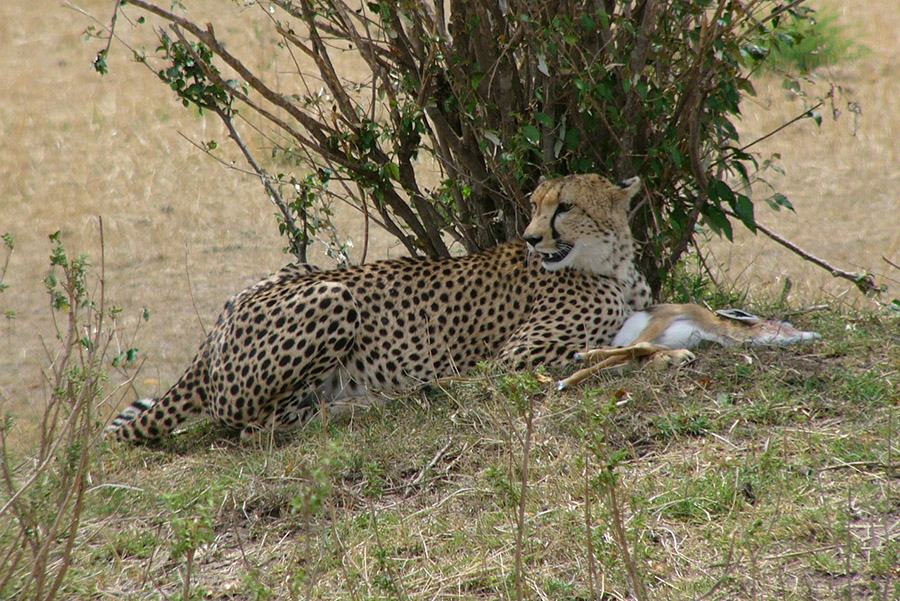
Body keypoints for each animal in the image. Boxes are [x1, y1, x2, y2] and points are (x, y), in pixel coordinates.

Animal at [106, 173, 651, 442]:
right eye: (537, 204)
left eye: (566, 206)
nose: (533, 238)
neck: (613, 262)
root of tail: (211, 338)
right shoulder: (511, 360)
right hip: (334, 296)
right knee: (252, 428)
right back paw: (370, 404)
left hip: (298, 272)